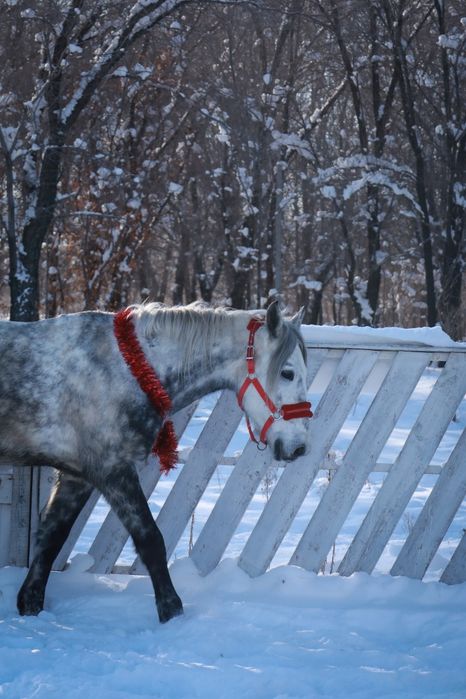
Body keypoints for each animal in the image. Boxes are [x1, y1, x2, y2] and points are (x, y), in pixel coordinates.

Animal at [0, 301, 312, 624]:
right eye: (287, 373)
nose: (299, 446)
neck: (123, 368)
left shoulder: (78, 478)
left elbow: (51, 538)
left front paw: (30, 605)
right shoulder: (113, 471)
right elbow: (150, 540)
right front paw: (171, 611)